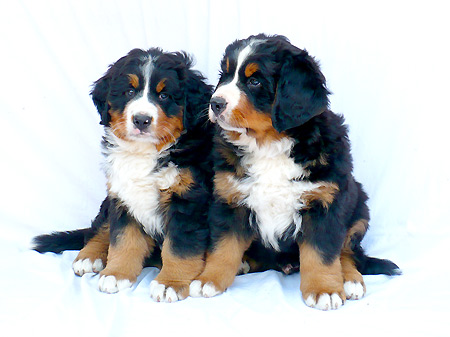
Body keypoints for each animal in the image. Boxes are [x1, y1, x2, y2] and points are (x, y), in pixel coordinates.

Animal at [33, 48, 213, 302]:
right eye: (129, 92)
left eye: (164, 96)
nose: (141, 119)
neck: (144, 152)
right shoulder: (123, 198)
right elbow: (123, 240)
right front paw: (116, 274)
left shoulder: (187, 202)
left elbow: (179, 248)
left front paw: (170, 282)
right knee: (99, 227)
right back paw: (88, 257)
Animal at [188, 34, 400, 310]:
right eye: (224, 75)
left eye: (255, 81)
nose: (215, 103)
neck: (269, 145)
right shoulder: (230, 200)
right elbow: (223, 246)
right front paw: (209, 280)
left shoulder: (324, 204)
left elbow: (322, 253)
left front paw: (324, 289)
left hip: (358, 206)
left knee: (347, 251)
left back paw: (350, 280)